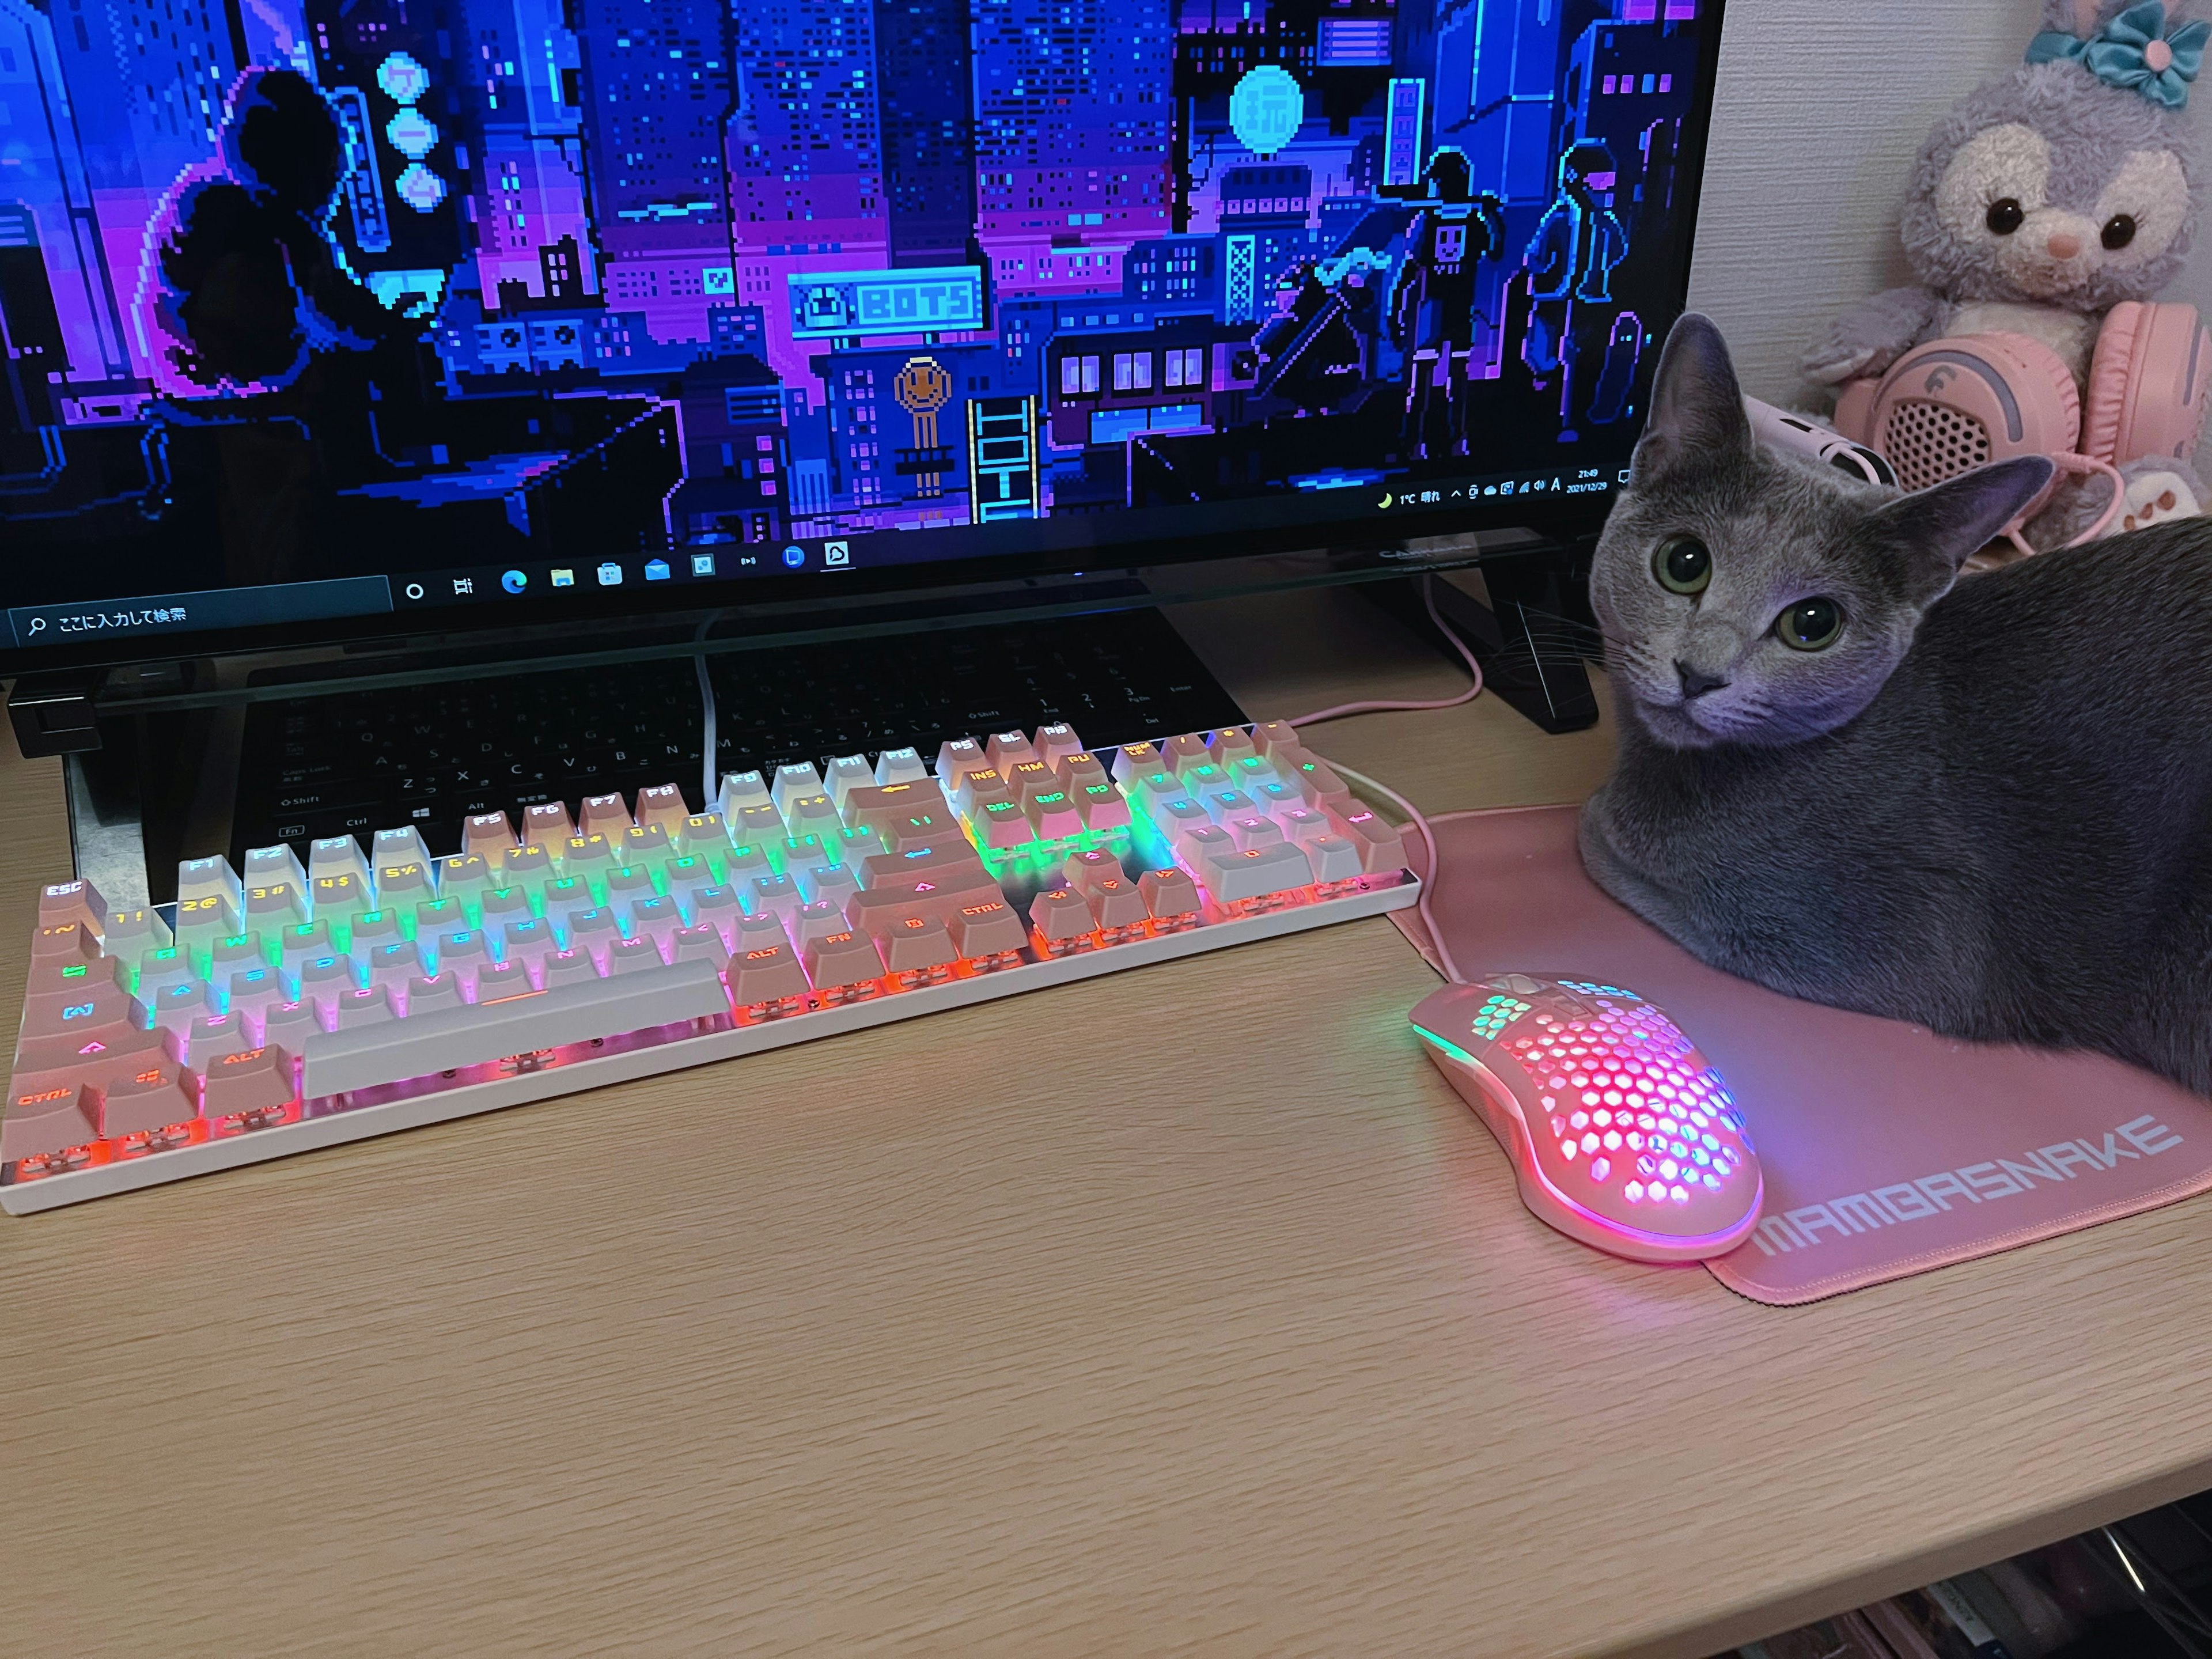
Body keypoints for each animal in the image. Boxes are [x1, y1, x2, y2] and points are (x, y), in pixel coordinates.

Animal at [1575, 314, 2212, 1097]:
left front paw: (1603, 820)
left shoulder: (1911, 945)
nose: (1700, 674)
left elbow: (1598, 837)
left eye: (1813, 624)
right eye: (1683, 562)